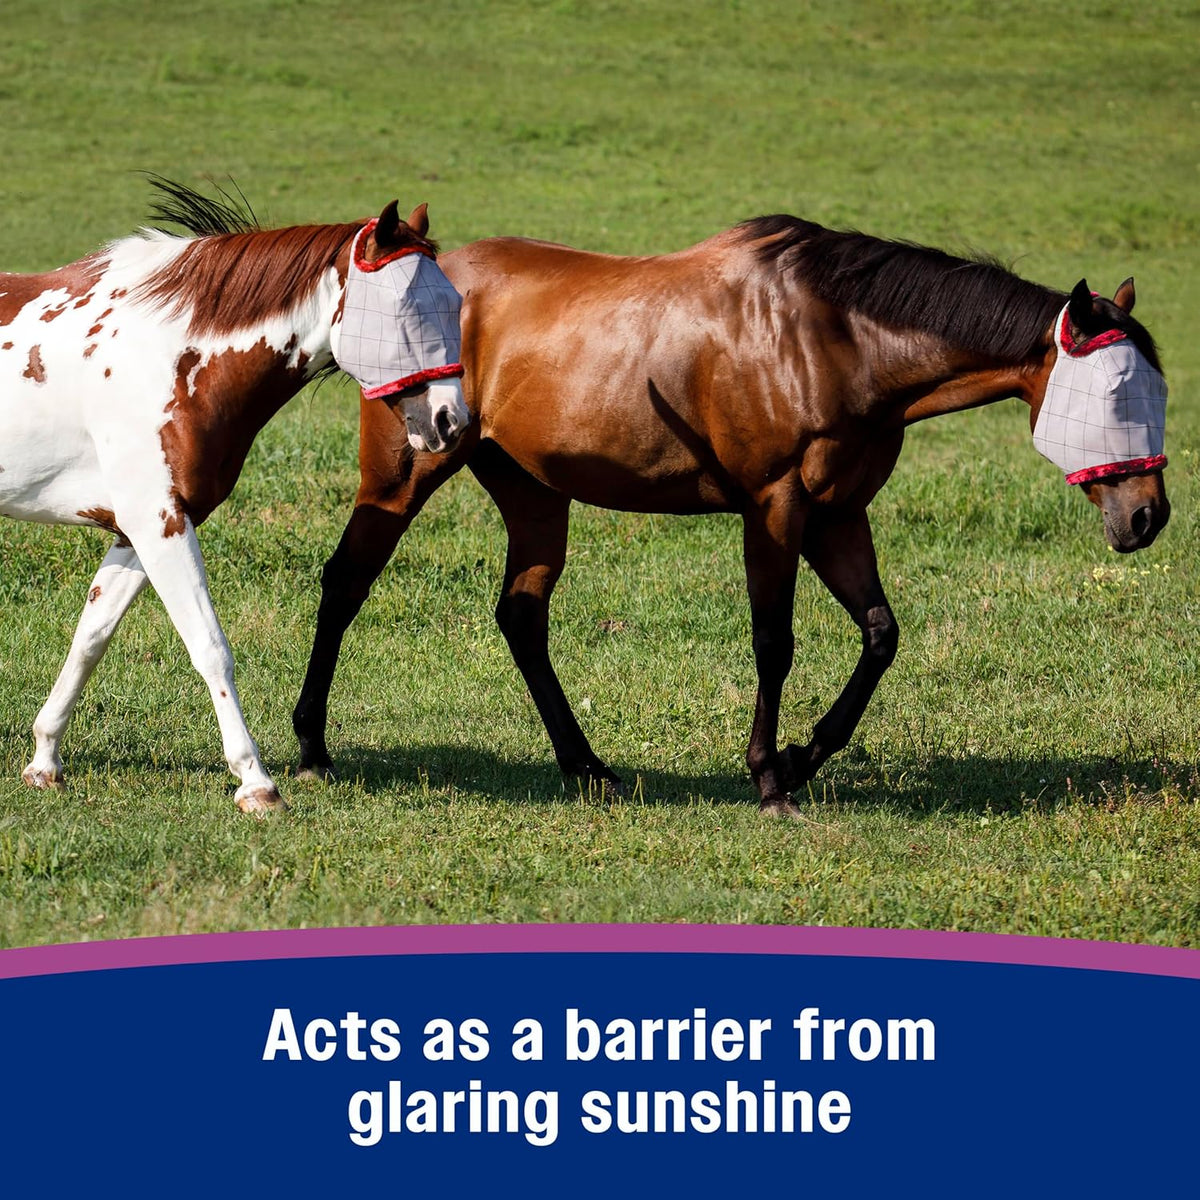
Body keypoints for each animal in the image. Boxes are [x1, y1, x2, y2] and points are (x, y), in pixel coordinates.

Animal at [0, 180, 469, 814]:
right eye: (406, 309)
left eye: (455, 304)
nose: (451, 421)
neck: (169, 355)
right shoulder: (159, 524)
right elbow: (209, 646)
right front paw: (256, 782)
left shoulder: (138, 529)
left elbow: (90, 638)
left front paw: (44, 761)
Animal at [290, 215, 1170, 816]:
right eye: (1117, 393)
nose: (1148, 516)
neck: (834, 339)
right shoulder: (774, 508)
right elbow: (774, 642)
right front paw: (769, 775)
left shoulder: (839, 516)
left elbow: (880, 634)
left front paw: (805, 754)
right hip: (405, 472)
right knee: (346, 583)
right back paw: (312, 745)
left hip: (535, 493)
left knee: (521, 617)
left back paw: (587, 767)